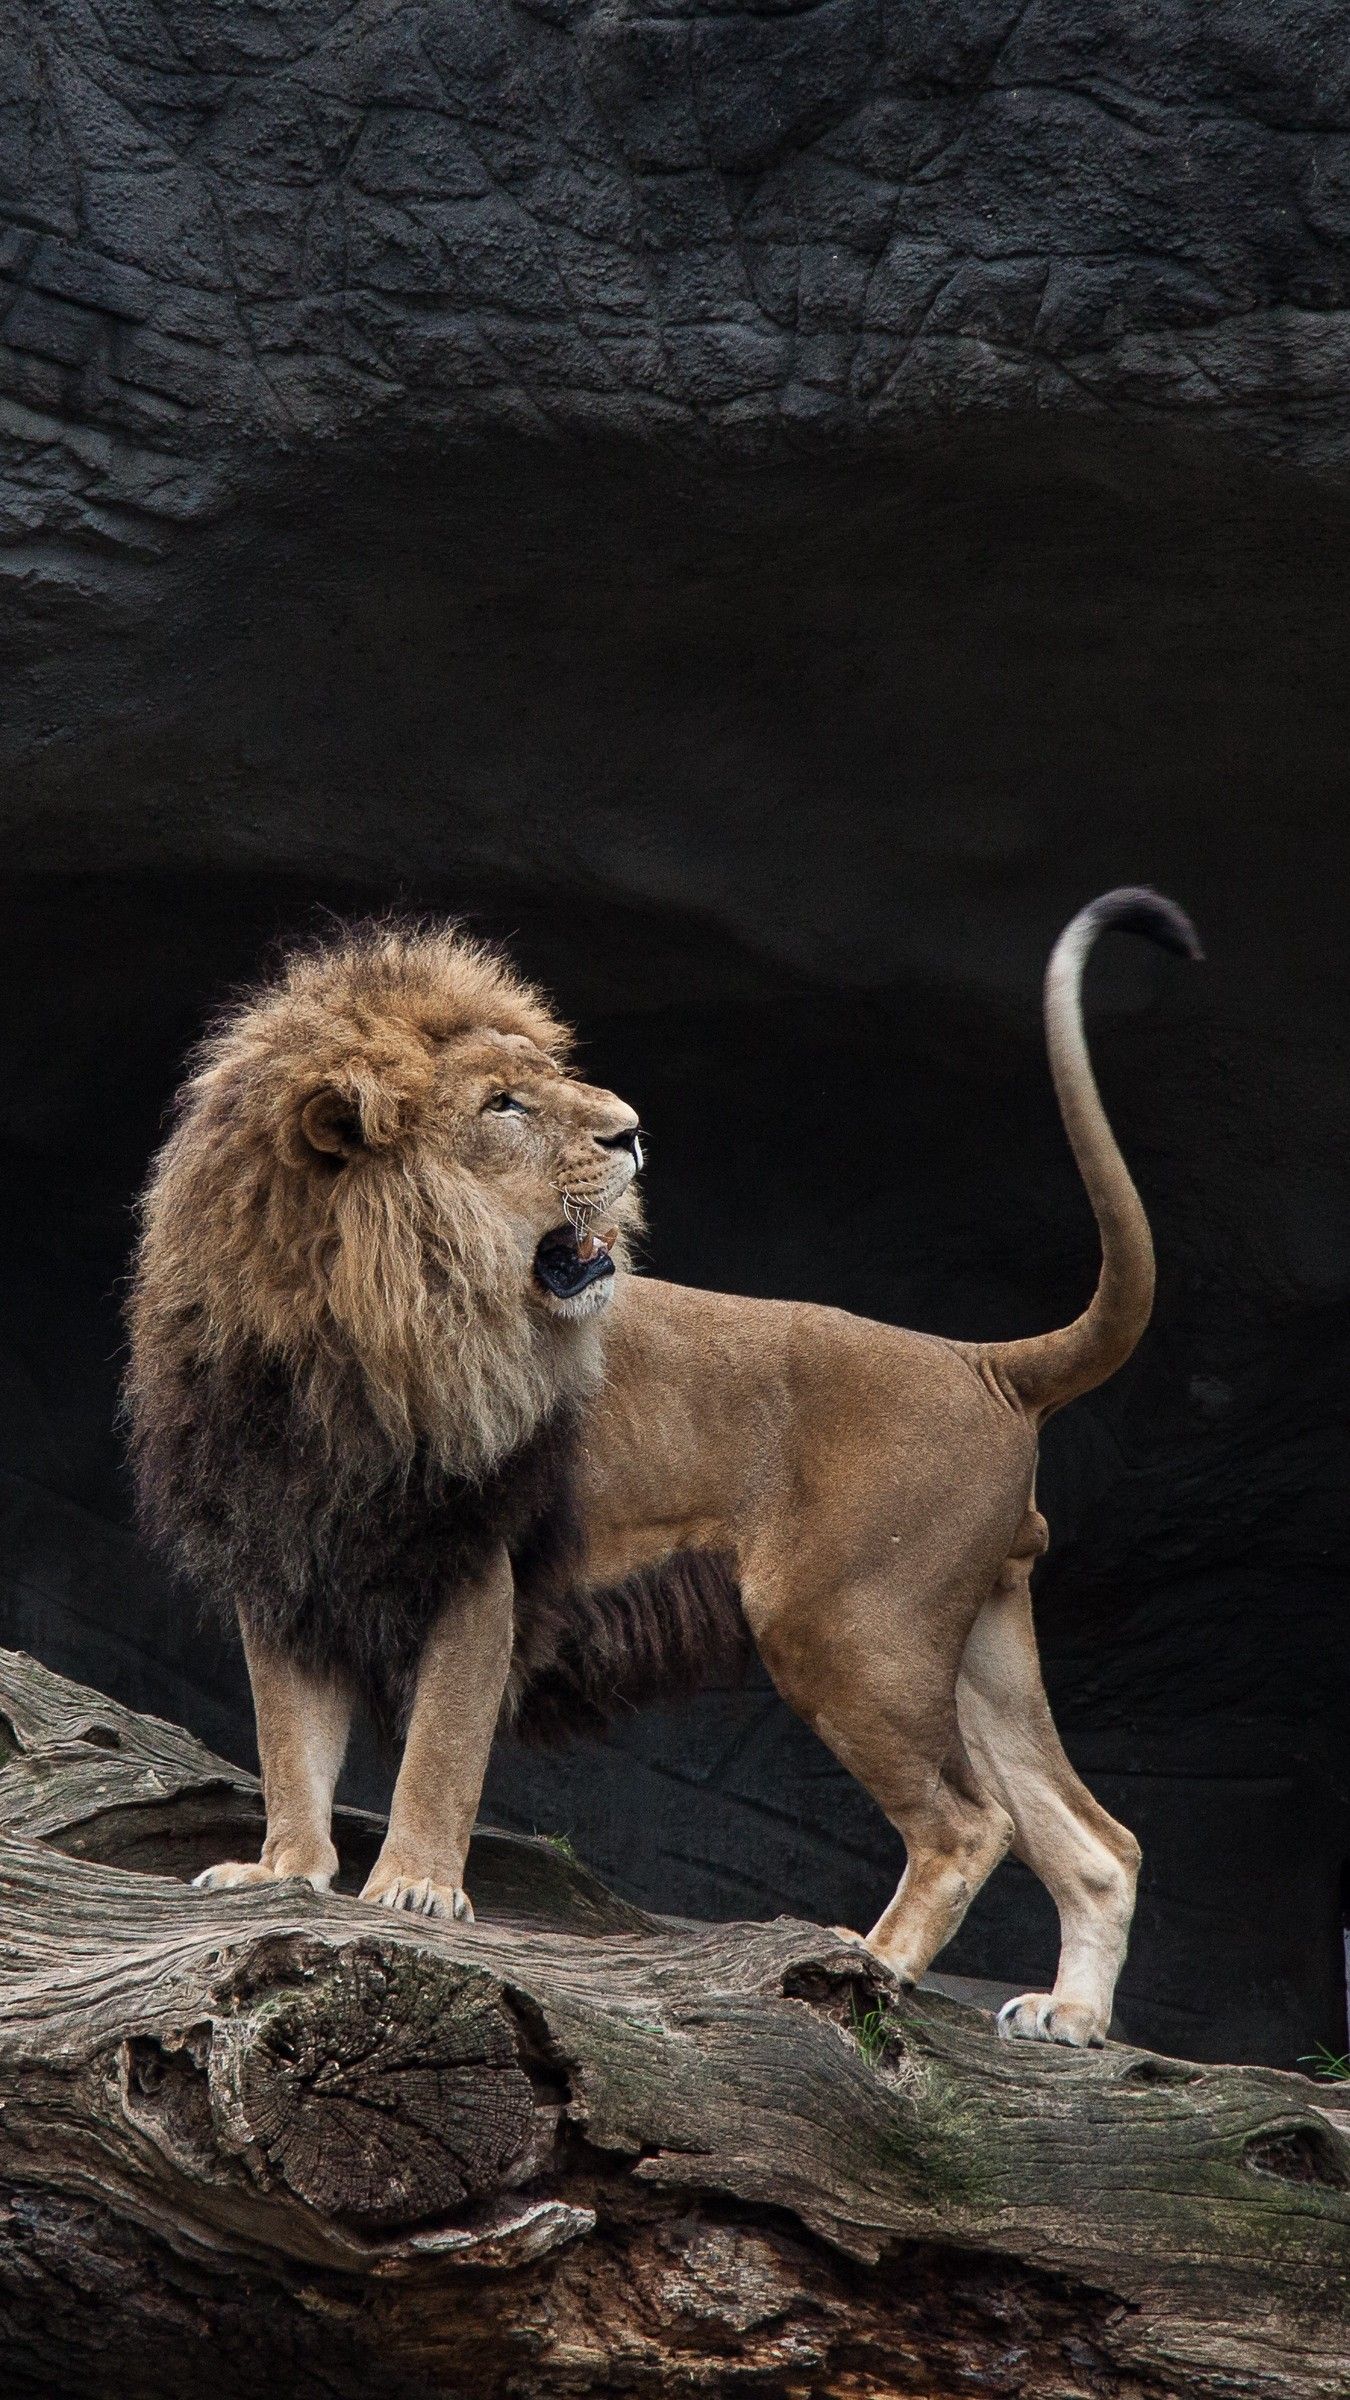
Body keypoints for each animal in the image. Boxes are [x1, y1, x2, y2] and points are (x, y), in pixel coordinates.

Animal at [125, 890, 1200, 2047]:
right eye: (503, 1103)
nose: (631, 1128)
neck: (342, 1338)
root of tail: (980, 1362)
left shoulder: (478, 1566)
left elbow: (442, 1747)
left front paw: (414, 1888)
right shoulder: (284, 1565)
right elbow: (289, 1742)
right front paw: (284, 1871)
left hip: (847, 1626)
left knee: (969, 1825)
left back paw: (871, 1966)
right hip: (969, 1644)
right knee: (1096, 1843)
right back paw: (1072, 2018)